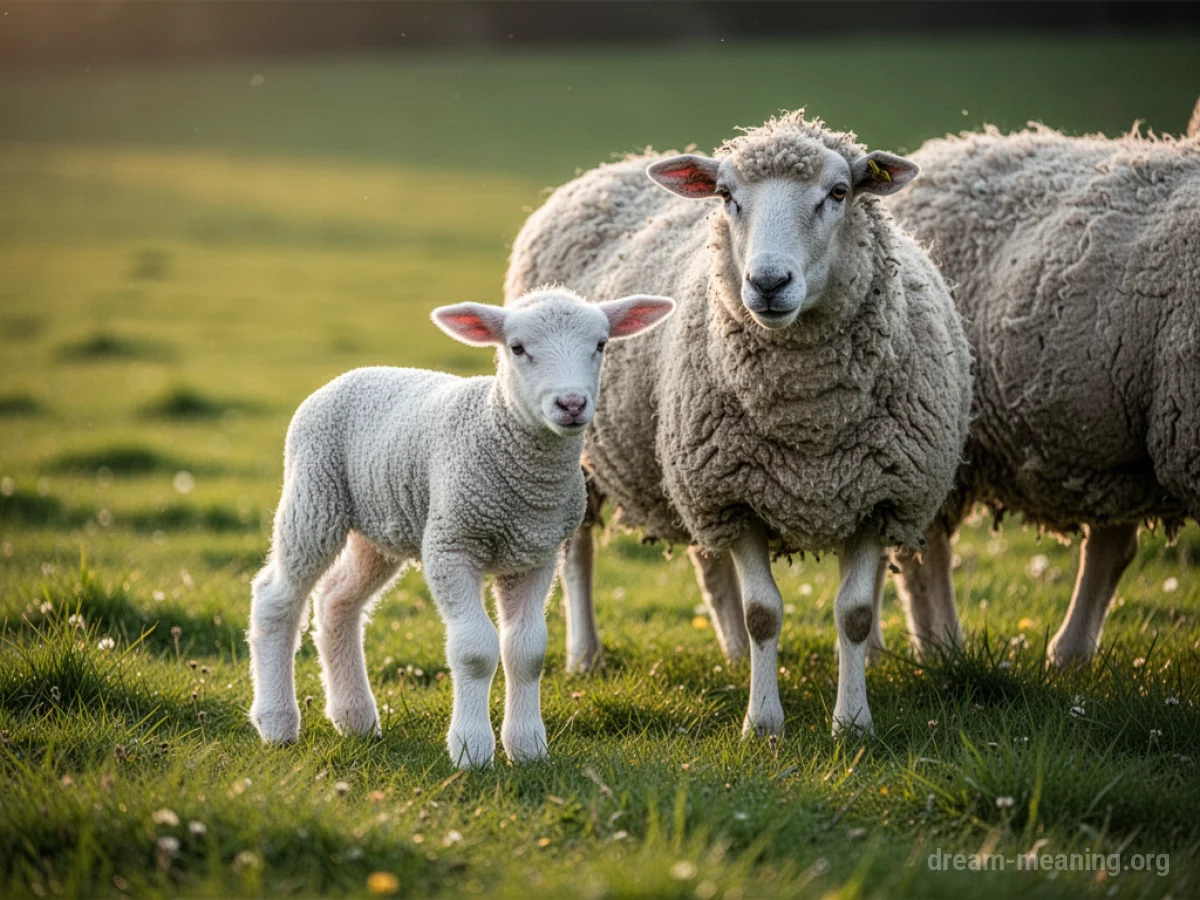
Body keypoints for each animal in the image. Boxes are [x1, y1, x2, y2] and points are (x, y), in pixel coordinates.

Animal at [246, 288, 675, 768]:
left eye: (601, 344)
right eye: (517, 348)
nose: (571, 405)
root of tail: (352, 375)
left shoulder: (534, 554)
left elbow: (526, 650)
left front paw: (528, 748)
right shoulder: (452, 545)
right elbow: (475, 650)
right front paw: (472, 750)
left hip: (379, 529)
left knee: (337, 600)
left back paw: (355, 717)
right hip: (314, 497)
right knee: (276, 598)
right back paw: (277, 722)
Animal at [506, 111, 972, 737]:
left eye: (839, 192)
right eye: (727, 196)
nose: (768, 283)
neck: (808, 422)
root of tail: (606, 168)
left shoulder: (881, 495)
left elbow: (852, 614)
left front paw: (853, 724)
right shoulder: (736, 497)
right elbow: (763, 614)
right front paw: (764, 723)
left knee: (707, 562)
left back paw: (729, 654)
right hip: (580, 446)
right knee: (576, 550)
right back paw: (585, 656)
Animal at [881, 121, 1200, 666]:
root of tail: (947, 148)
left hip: (1115, 442)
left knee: (1110, 545)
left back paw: (1069, 654)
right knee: (923, 550)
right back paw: (944, 651)